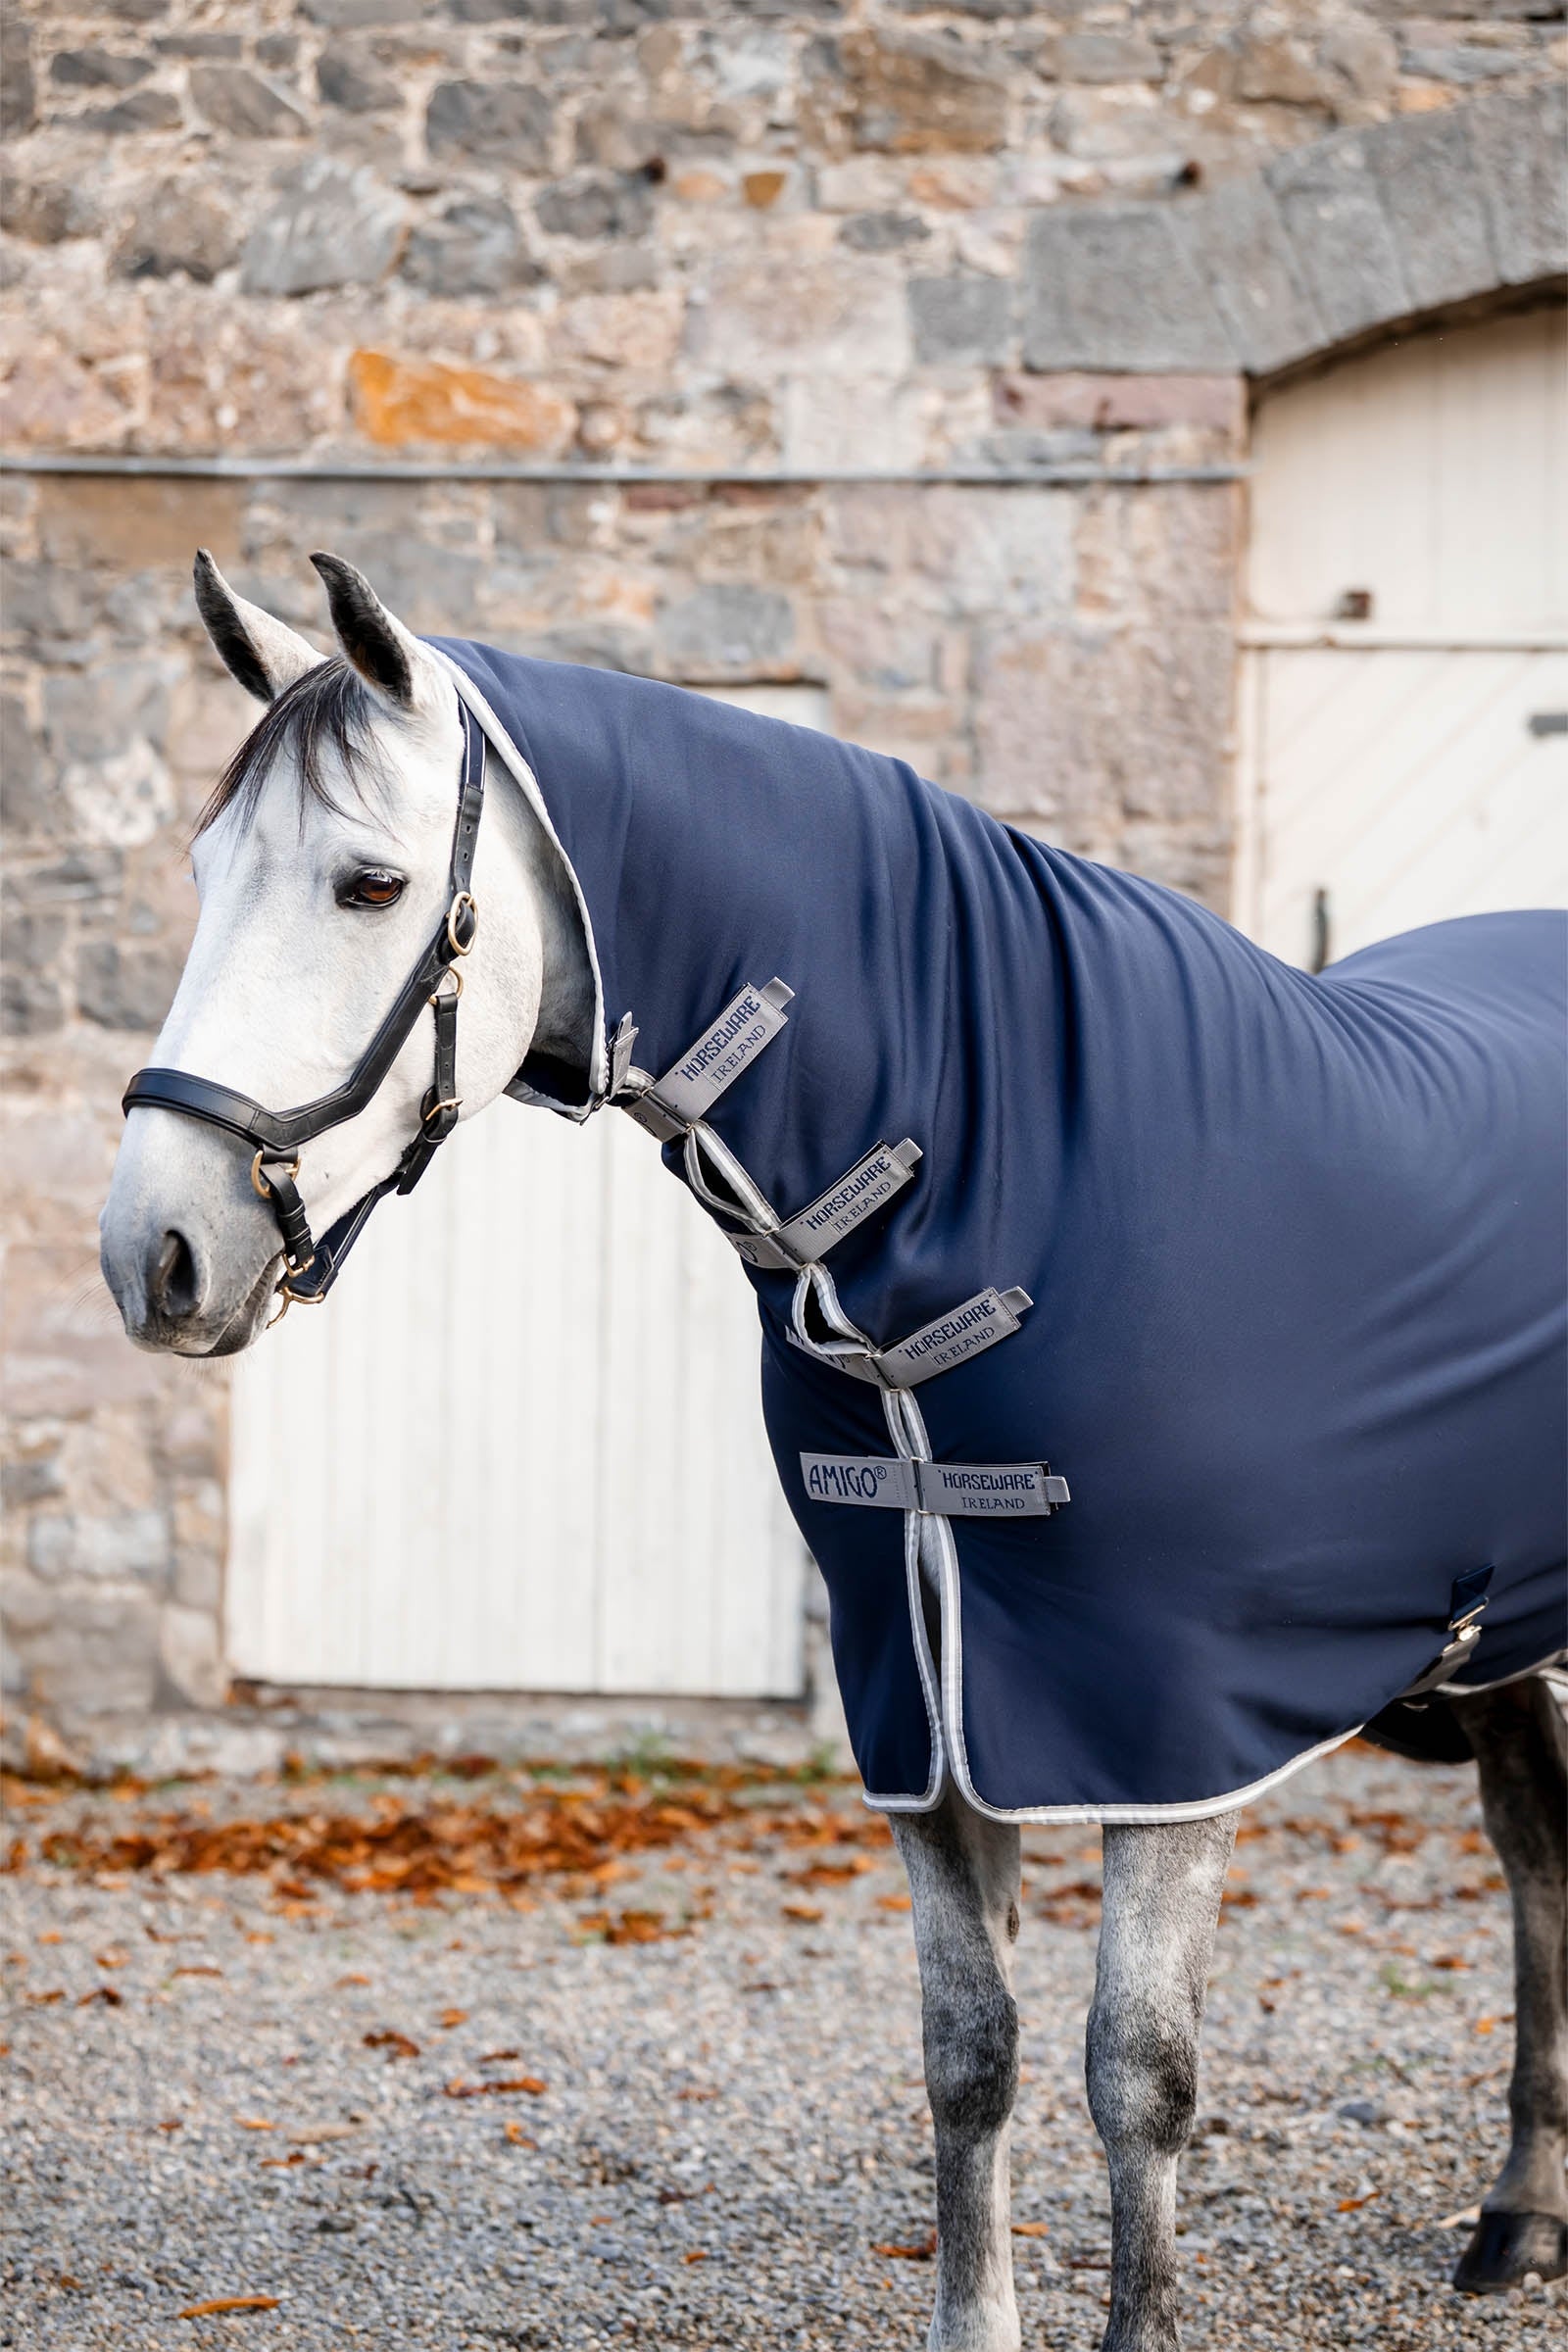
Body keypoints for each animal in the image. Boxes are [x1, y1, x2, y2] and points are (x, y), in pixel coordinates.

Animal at [100, 551, 1567, 2351]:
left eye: (370, 885)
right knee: (1540, 1865)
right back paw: (1520, 2213)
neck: (1015, 1186)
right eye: (201, 866)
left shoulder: (1172, 1732)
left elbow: (1139, 2073)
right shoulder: (926, 1708)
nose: (156, 1253)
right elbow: (969, 2057)